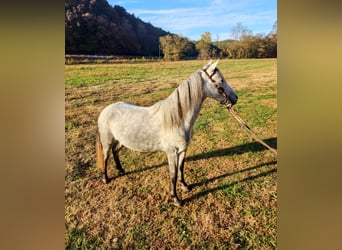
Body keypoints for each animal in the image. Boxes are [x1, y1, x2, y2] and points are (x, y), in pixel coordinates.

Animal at [96, 59, 238, 206]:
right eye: (221, 81)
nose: (235, 98)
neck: (178, 119)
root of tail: (105, 110)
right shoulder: (171, 152)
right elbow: (173, 175)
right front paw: (176, 199)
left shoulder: (182, 150)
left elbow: (181, 168)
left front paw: (185, 186)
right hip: (107, 141)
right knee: (106, 157)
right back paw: (106, 179)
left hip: (121, 141)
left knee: (115, 152)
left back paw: (121, 170)